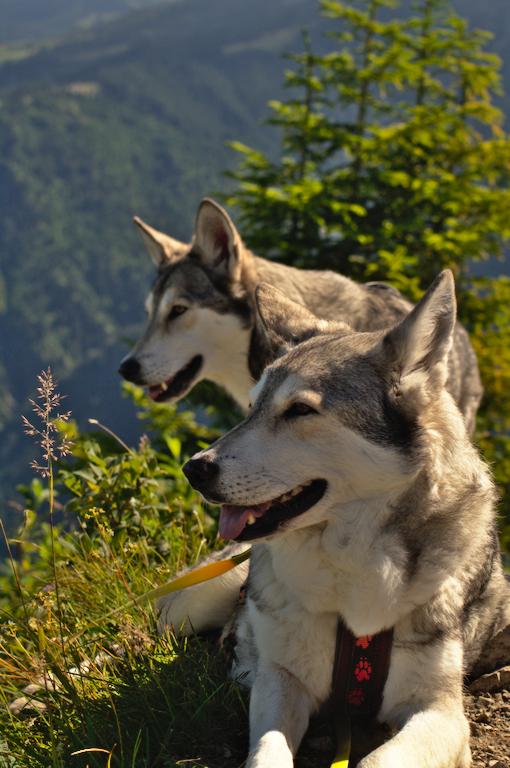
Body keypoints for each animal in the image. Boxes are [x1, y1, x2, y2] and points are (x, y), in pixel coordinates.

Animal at [161, 272, 509, 768]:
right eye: (251, 408)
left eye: (299, 410)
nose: (195, 469)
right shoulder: (281, 681)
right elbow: (267, 752)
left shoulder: (441, 711)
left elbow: (377, 759)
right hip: (191, 604)